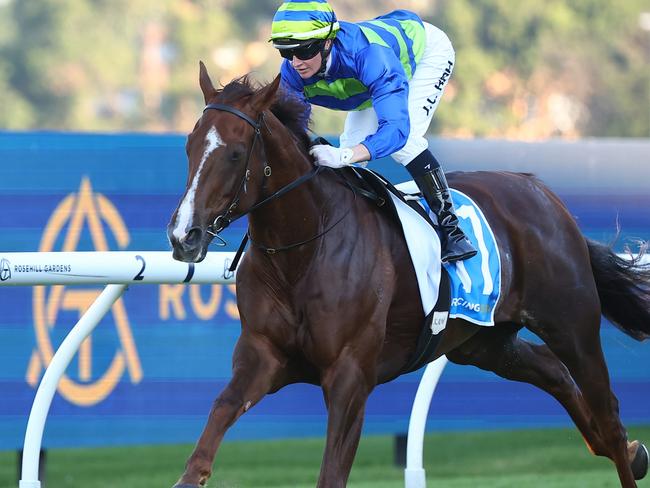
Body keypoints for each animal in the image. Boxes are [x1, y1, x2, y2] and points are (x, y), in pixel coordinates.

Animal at [166, 62, 648, 488]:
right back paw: (632, 453)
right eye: (189, 146)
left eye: (234, 153)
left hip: (571, 324)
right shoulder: (262, 355)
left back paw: (624, 449)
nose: (183, 234)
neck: (303, 252)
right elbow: (213, 428)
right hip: (485, 343)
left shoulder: (350, 375)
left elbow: (332, 474)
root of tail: (543, 192)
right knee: (554, 373)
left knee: (608, 415)